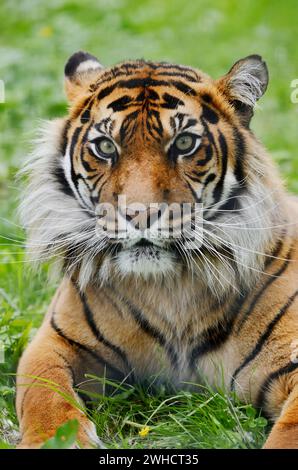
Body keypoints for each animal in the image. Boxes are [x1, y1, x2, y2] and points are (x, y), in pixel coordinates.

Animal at [15, 50, 298, 448]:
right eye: (105, 147)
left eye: (184, 143)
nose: (140, 214)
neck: (169, 287)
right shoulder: (53, 341)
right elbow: (43, 394)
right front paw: (56, 440)